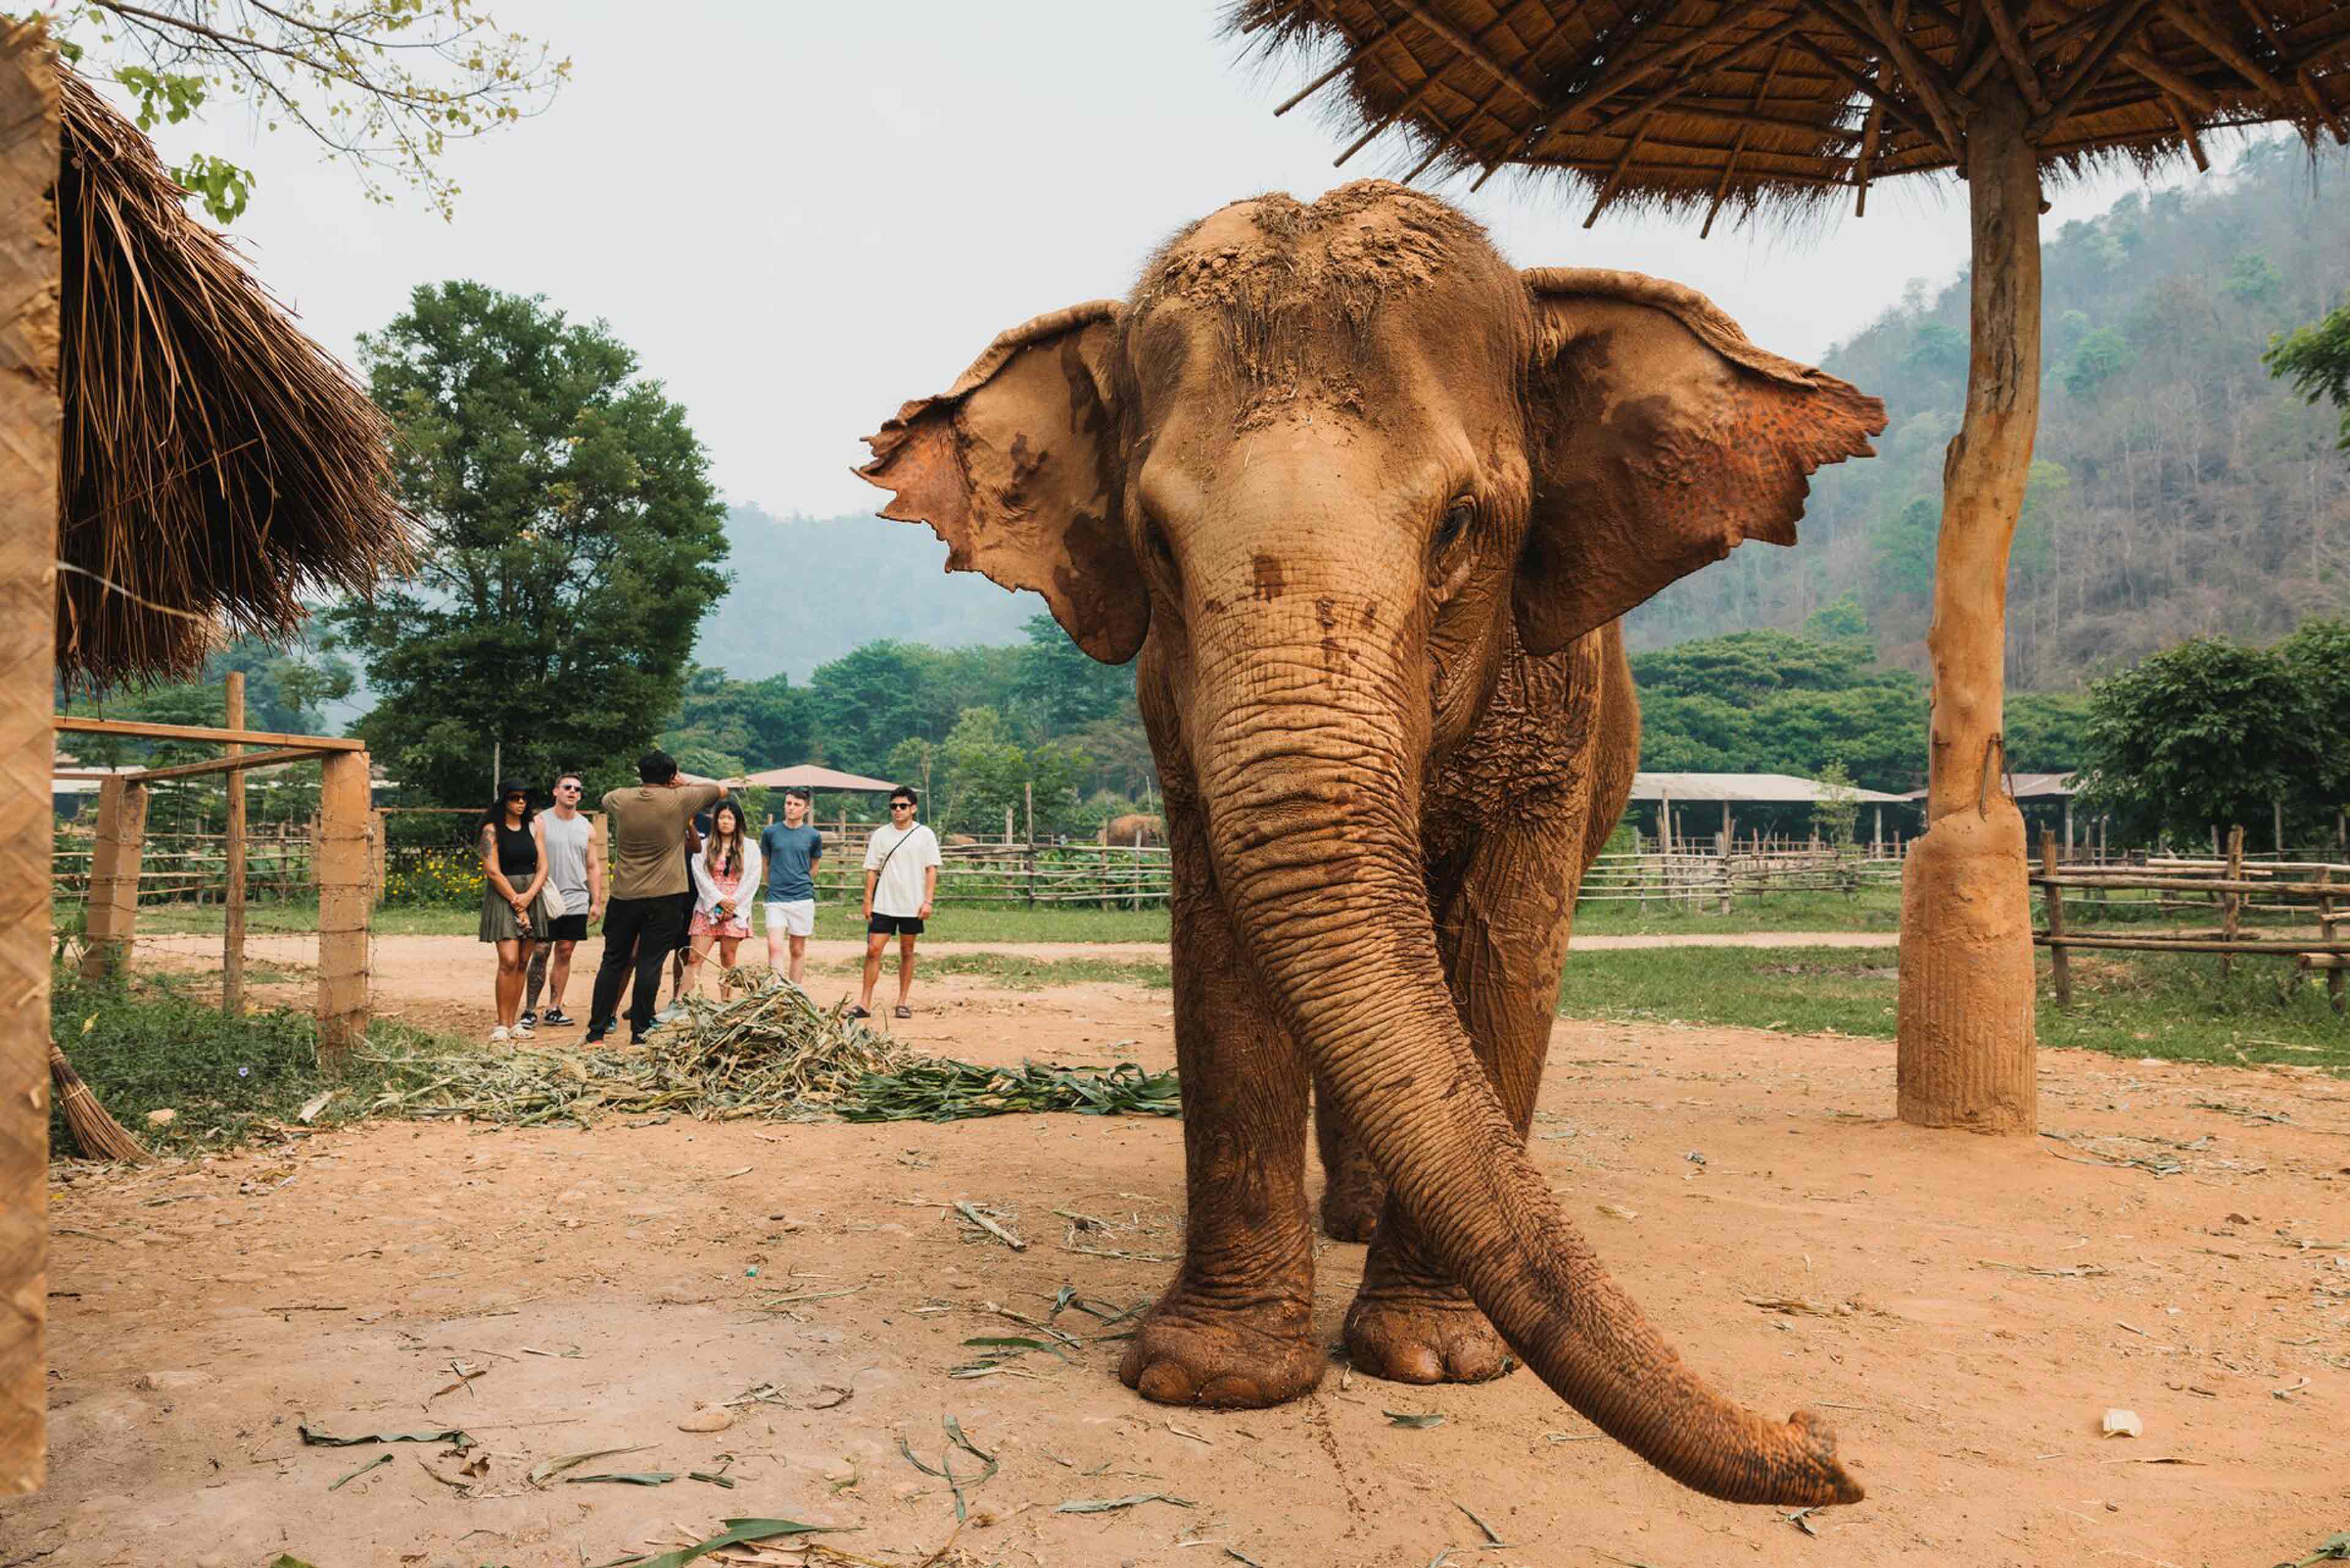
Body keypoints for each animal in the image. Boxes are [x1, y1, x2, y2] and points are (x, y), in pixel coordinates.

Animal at [857, 181, 1884, 1507]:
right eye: (1154, 541)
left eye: (1461, 526)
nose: (1825, 1438)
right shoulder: (1175, 715)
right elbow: (1221, 952)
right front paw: (1217, 1380)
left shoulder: (1556, 714)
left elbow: (1504, 956)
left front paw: (1436, 1363)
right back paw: (1344, 1219)